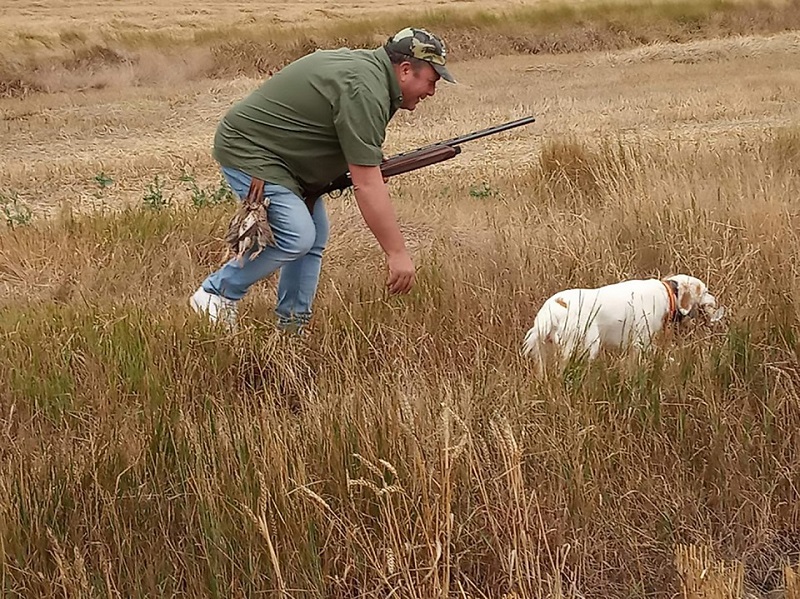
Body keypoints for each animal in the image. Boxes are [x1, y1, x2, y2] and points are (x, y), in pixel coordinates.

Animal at [520, 276, 724, 376]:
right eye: (706, 291)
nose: (715, 300)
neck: (667, 294)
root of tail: (550, 311)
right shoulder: (641, 343)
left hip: (544, 353)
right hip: (586, 346)